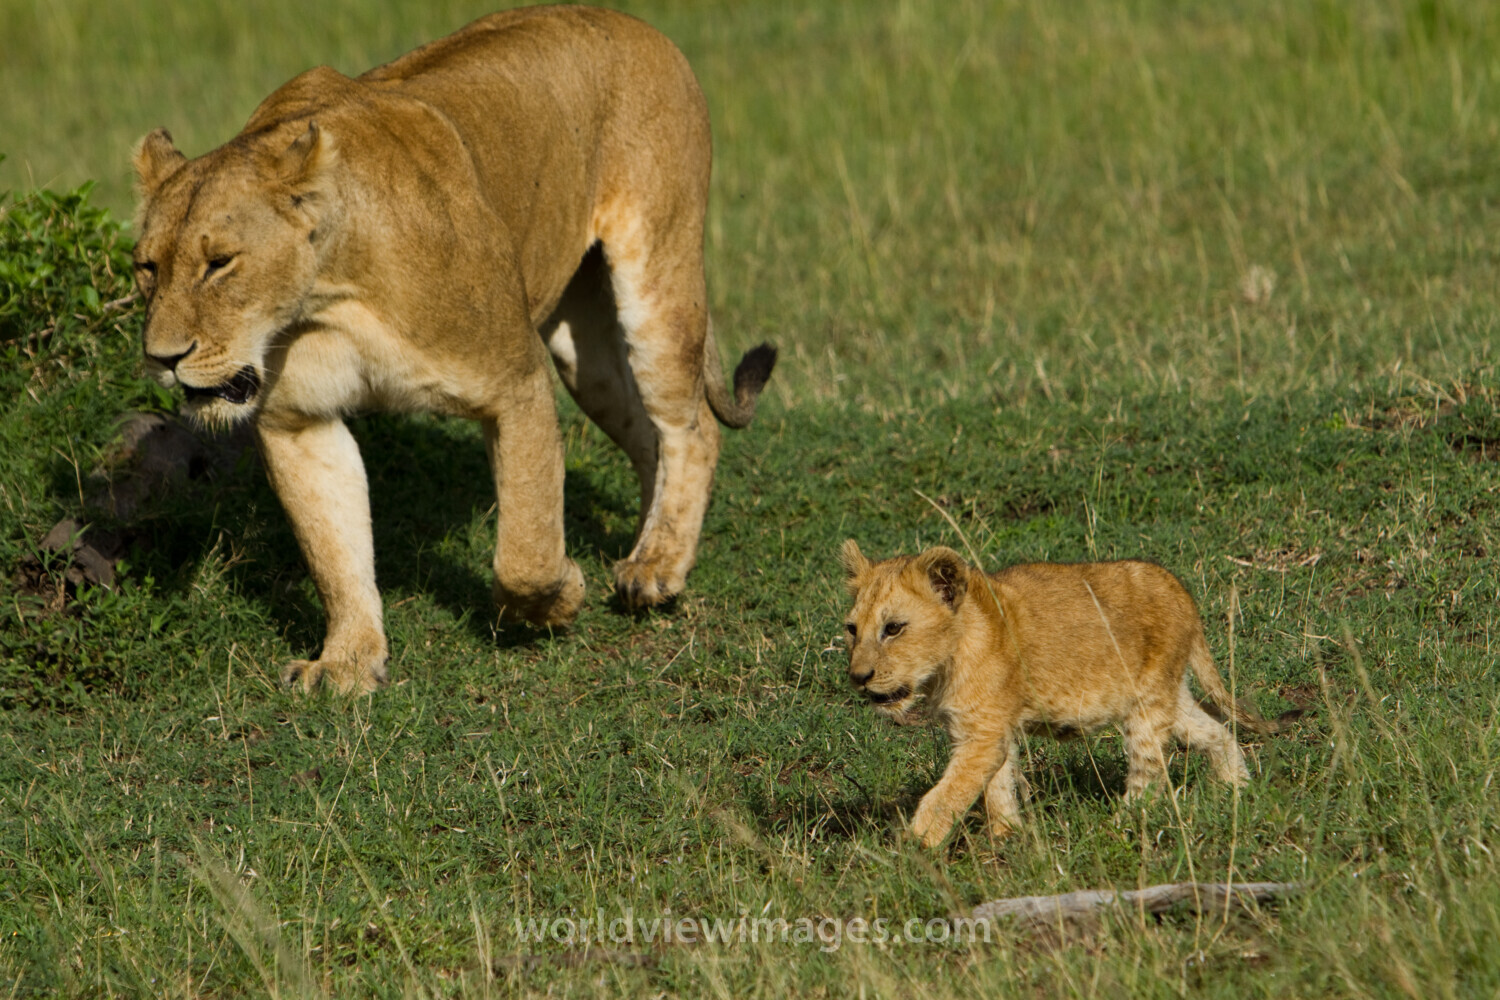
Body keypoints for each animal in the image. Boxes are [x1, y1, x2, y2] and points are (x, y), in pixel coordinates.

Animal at [130, 7, 776, 694]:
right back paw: (648, 547)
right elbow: (334, 552)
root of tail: (632, 21)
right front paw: (348, 663)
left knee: (692, 428)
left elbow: (525, 549)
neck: (325, 296)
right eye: (147, 267)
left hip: (657, 275)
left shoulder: (514, 380)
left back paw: (655, 568)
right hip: (585, 354)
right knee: (648, 433)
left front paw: (559, 599)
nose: (163, 357)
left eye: (220, 263)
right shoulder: (297, 422)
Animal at [839, 541, 1285, 848]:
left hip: (1148, 703)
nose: (858, 677)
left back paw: (1119, 827)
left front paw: (913, 850)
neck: (945, 663)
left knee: (1150, 772)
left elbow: (946, 795)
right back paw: (1236, 790)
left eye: (893, 628)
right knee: (1215, 732)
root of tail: (1181, 591)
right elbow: (998, 786)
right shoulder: (985, 729)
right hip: (1170, 696)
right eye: (851, 629)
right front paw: (1006, 837)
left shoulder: (983, 734)